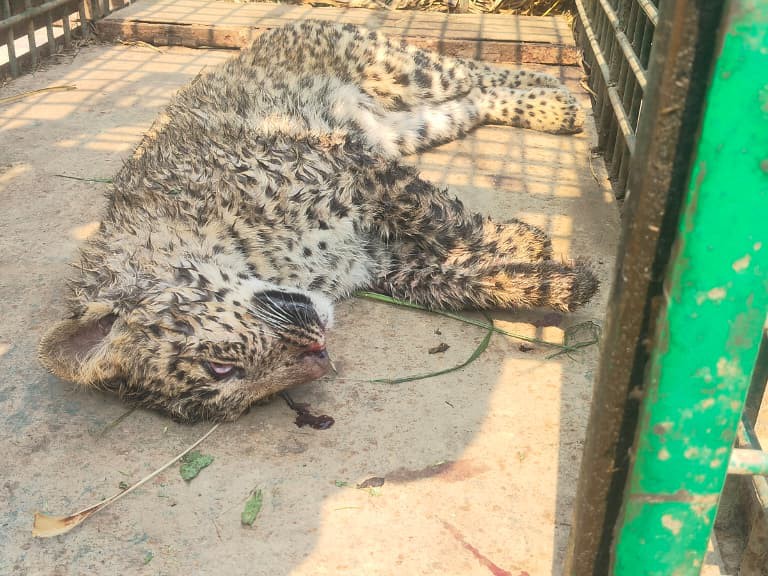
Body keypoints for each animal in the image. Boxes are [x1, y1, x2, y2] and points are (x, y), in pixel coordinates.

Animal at [38, 19, 598, 423]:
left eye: (219, 366)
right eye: (234, 384)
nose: (321, 355)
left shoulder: (354, 169)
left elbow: (444, 218)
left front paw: (523, 240)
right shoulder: (380, 263)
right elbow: (457, 279)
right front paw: (556, 283)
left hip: (397, 69)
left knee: (471, 70)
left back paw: (559, 97)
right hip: (420, 122)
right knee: (474, 101)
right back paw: (551, 105)